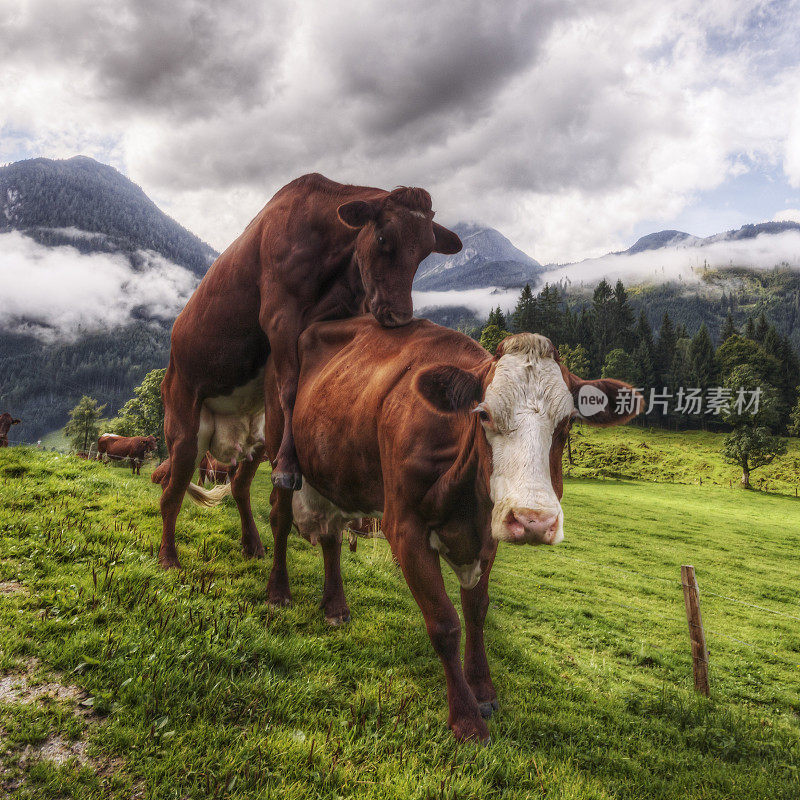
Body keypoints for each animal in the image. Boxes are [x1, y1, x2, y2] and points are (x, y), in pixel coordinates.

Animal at [154, 172, 462, 568]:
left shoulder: (344, 314)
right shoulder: (279, 317)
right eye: (383, 238)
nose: (399, 315)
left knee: (238, 485)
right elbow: (289, 389)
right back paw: (168, 557)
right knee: (171, 491)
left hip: (255, 437)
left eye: (426, 251)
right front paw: (289, 465)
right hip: (184, 425)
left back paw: (252, 544)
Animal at [256, 316, 644, 740]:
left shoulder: (487, 537)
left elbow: (476, 611)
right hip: (281, 451)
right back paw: (278, 592)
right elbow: (444, 622)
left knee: (331, 536)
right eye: (484, 414)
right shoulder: (405, 530)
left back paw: (335, 607)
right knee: (280, 520)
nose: (533, 520)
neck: (464, 501)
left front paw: (483, 689)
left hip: (335, 473)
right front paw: (467, 719)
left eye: (569, 421)